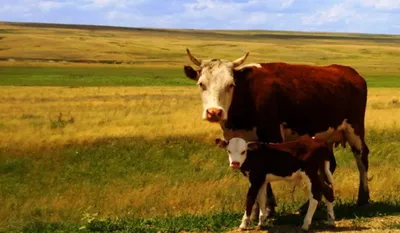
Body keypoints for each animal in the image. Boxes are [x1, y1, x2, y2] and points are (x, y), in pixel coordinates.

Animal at [184, 49, 372, 218]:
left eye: (231, 85)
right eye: (201, 84)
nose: (214, 112)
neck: (246, 96)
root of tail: (351, 73)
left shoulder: (271, 137)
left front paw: (268, 209)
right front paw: (254, 212)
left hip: (354, 129)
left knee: (361, 158)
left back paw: (363, 199)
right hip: (325, 138)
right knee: (329, 166)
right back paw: (307, 206)